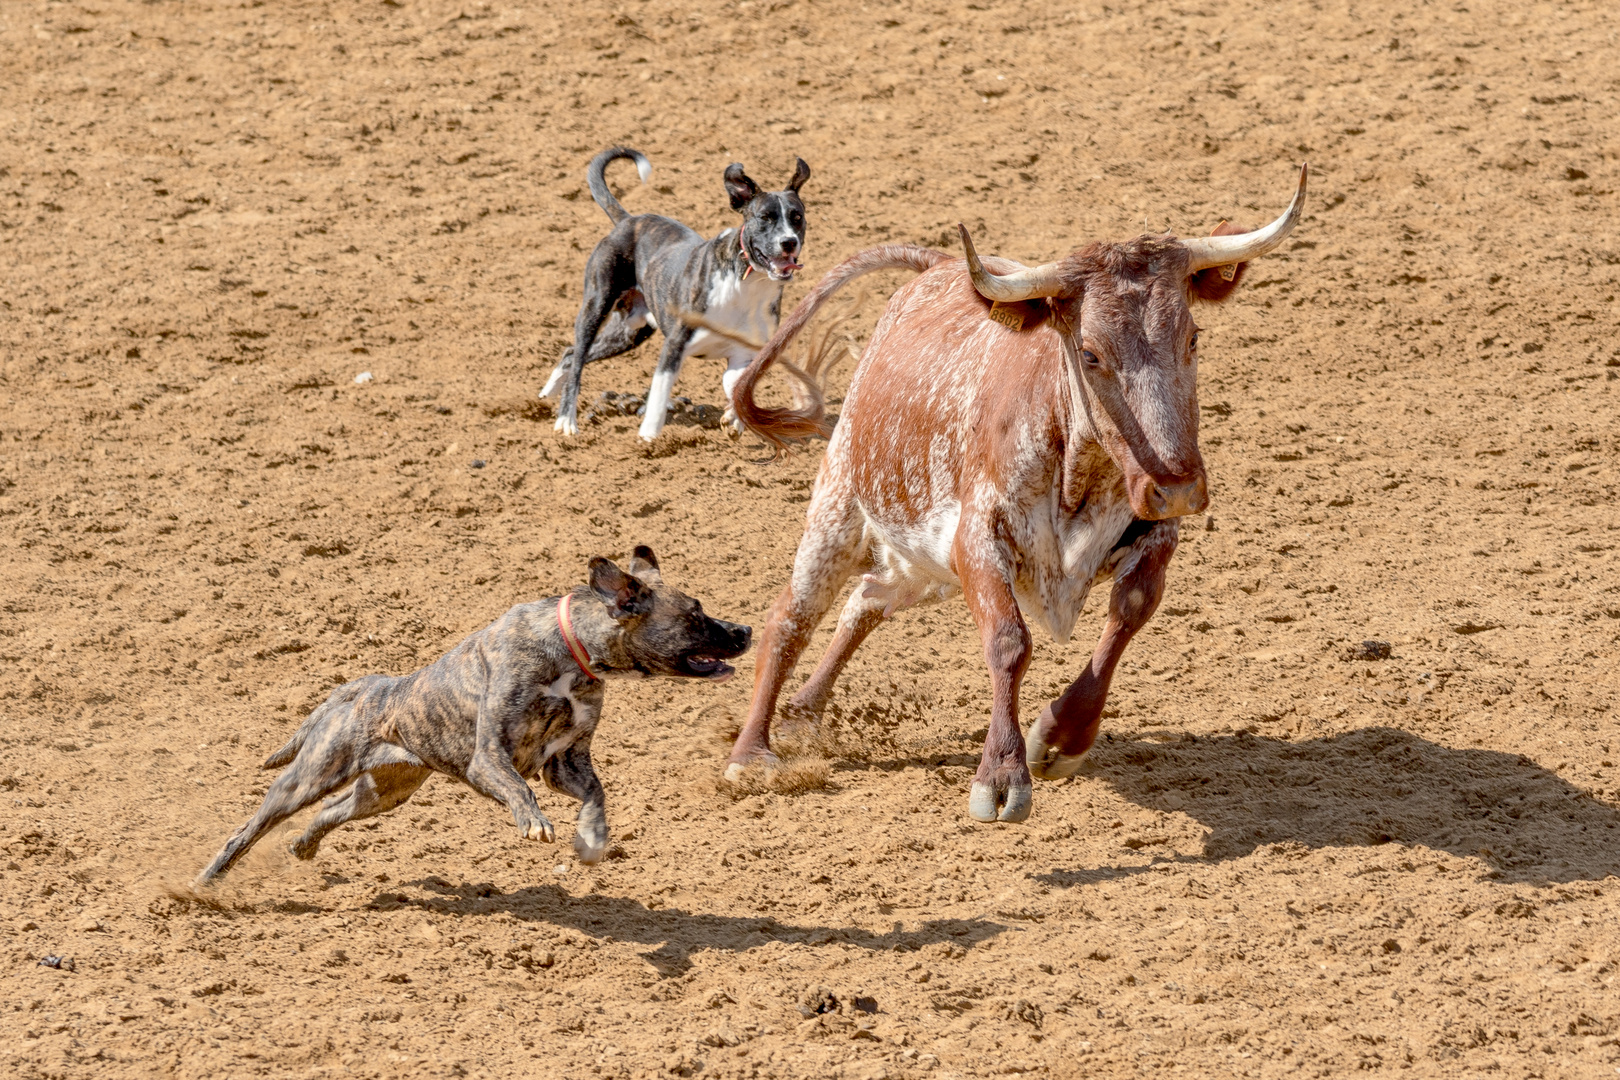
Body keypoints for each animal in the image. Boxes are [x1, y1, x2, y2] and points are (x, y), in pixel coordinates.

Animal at [194, 550, 745, 887]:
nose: (744, 630)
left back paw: (304, 849)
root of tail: (359, 690)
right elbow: (520, 791)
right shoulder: (490, 759)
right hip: (307, 778)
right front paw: (535, 823)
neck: (570, 652)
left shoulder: (566, 763)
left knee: (329, 813)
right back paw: (205, 884)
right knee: (247, 830)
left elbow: (597, 796)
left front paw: (591, 840)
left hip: (384, 793)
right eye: (695, 615)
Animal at [537, 148, 810, 443]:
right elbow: (659, 394)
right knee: (577, 361)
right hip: (596, 305)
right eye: (764, 217)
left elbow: (737, 385)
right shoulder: (674, 345)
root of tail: (629, 220)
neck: (746, 284)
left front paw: (733, 419)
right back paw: (566, 419)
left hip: (629, 332)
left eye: (797, 217)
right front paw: (648, 438)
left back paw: (547, 393)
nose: (788, 242)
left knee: (571, 353)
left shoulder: (743, 355)